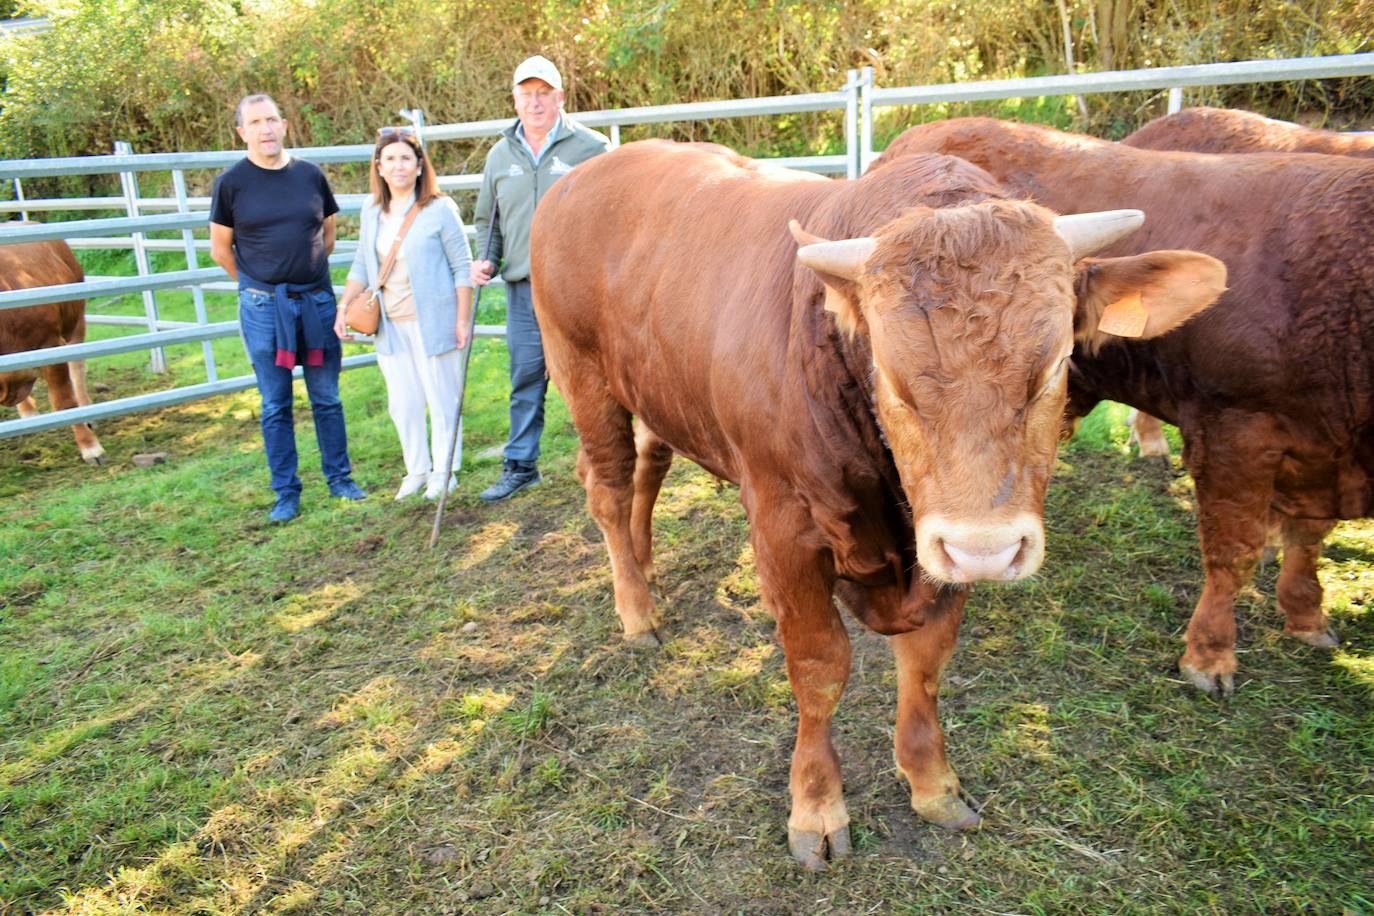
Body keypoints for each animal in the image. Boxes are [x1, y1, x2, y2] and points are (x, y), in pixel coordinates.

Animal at [527, 140, 1225, 873]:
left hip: (656, 390)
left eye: (1056, 364)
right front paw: (815, 806)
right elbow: (819, 667)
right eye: (891, 377)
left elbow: (926, 663)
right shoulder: (783, 529)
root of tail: (587, 174)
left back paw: (644, 570)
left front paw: (932, 782)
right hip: (581, 374)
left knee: (647, 467)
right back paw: (636, 611)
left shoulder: (935, 550)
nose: (988, 549)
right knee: (608, 485)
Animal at [879, 118, 1374, 697]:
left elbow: (1308, 537)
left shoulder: (1323, 452)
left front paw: (1306, 615)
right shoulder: (1235, 432)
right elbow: (1234, 552)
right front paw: (1210, 655)